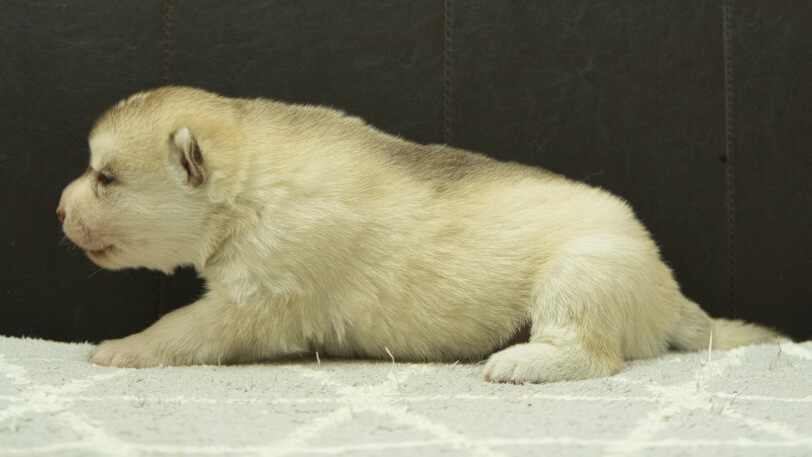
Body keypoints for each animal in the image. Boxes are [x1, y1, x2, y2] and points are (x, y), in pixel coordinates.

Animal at [57, 85, 780, 382]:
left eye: (106, 178)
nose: (58, 211)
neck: (251, 184)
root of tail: (668, 289)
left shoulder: (255, 299)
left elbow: (182, 327)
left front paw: (124, 346)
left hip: (585, 273)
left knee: (595, 354)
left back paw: (523, 362)